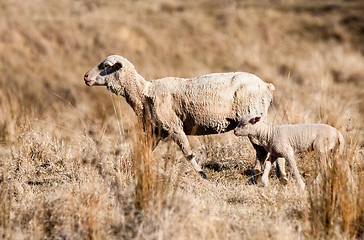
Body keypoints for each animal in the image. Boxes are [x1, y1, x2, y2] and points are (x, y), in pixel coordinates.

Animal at [83, 54, 276, 178]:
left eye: (107, 66)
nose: (85, 76)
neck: (143, 93)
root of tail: (267, 86)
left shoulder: (174, 127)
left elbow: (187, 152)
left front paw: (202, 175)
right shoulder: (157, 130)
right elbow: (146, 150)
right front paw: (138, 169)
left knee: (261, 150)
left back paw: (254, 175)